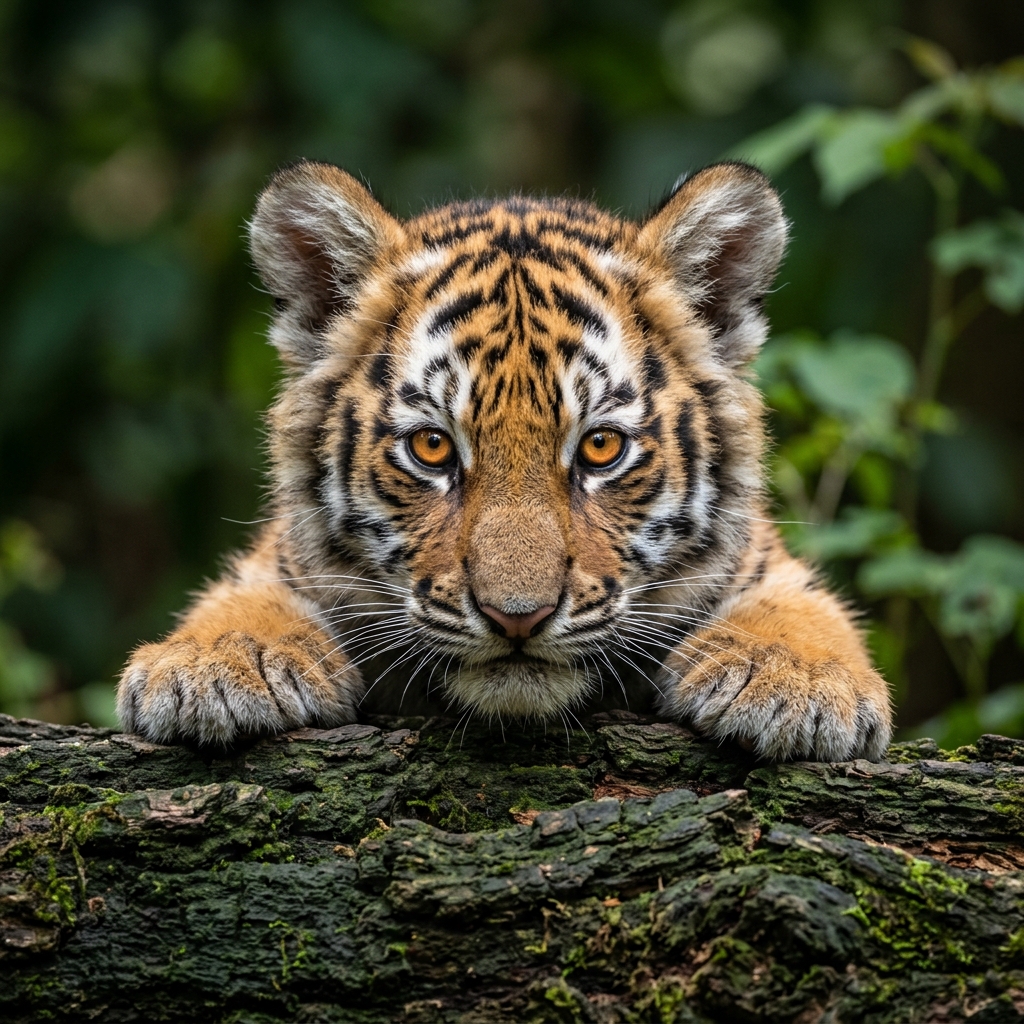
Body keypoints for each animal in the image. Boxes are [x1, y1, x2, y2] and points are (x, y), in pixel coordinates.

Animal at [116, 159, 893, 762]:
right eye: (432, 447)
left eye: (601, 448)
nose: (517, 619)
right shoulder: (280, 559)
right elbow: (245, 594)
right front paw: (220, 663)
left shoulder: (763, 561)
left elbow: (798, 603)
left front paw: (793, 679)